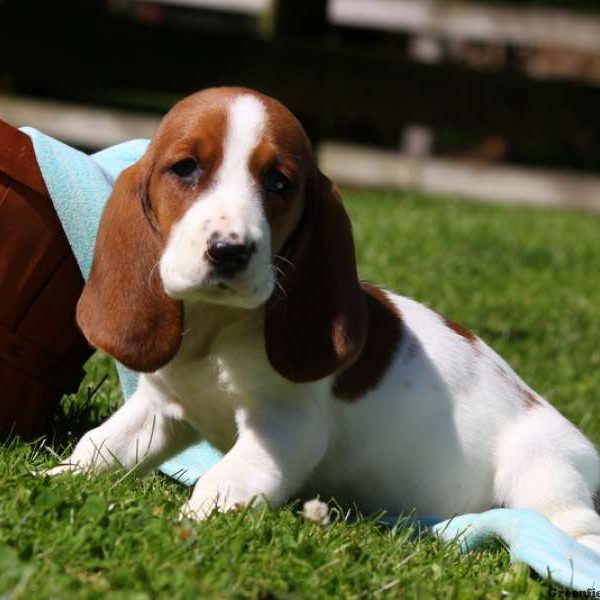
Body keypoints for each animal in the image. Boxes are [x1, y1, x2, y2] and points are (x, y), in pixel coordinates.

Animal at [47, 88, 600, 552]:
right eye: (185, 168)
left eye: (278, 182)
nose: (229, 251)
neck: (217, 325)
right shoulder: (160, 408)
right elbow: (100, 446)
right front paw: (55, 479)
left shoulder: (285, 428)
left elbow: (222, 479)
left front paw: (189, 524)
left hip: (543, 475)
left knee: (573, 524)